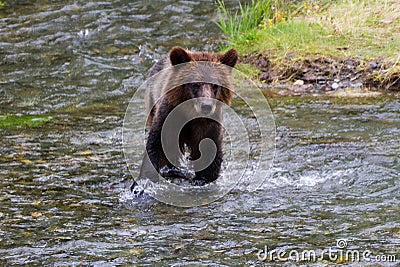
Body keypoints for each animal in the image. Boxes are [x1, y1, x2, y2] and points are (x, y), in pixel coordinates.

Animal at [139, 46, 238, 186]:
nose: (206, 106)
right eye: (195, 84)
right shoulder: (169, 117)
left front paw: (202, 180)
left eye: (215, 85)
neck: (191, 113)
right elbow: (156, 146)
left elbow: (209, 153)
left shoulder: (209, 125)